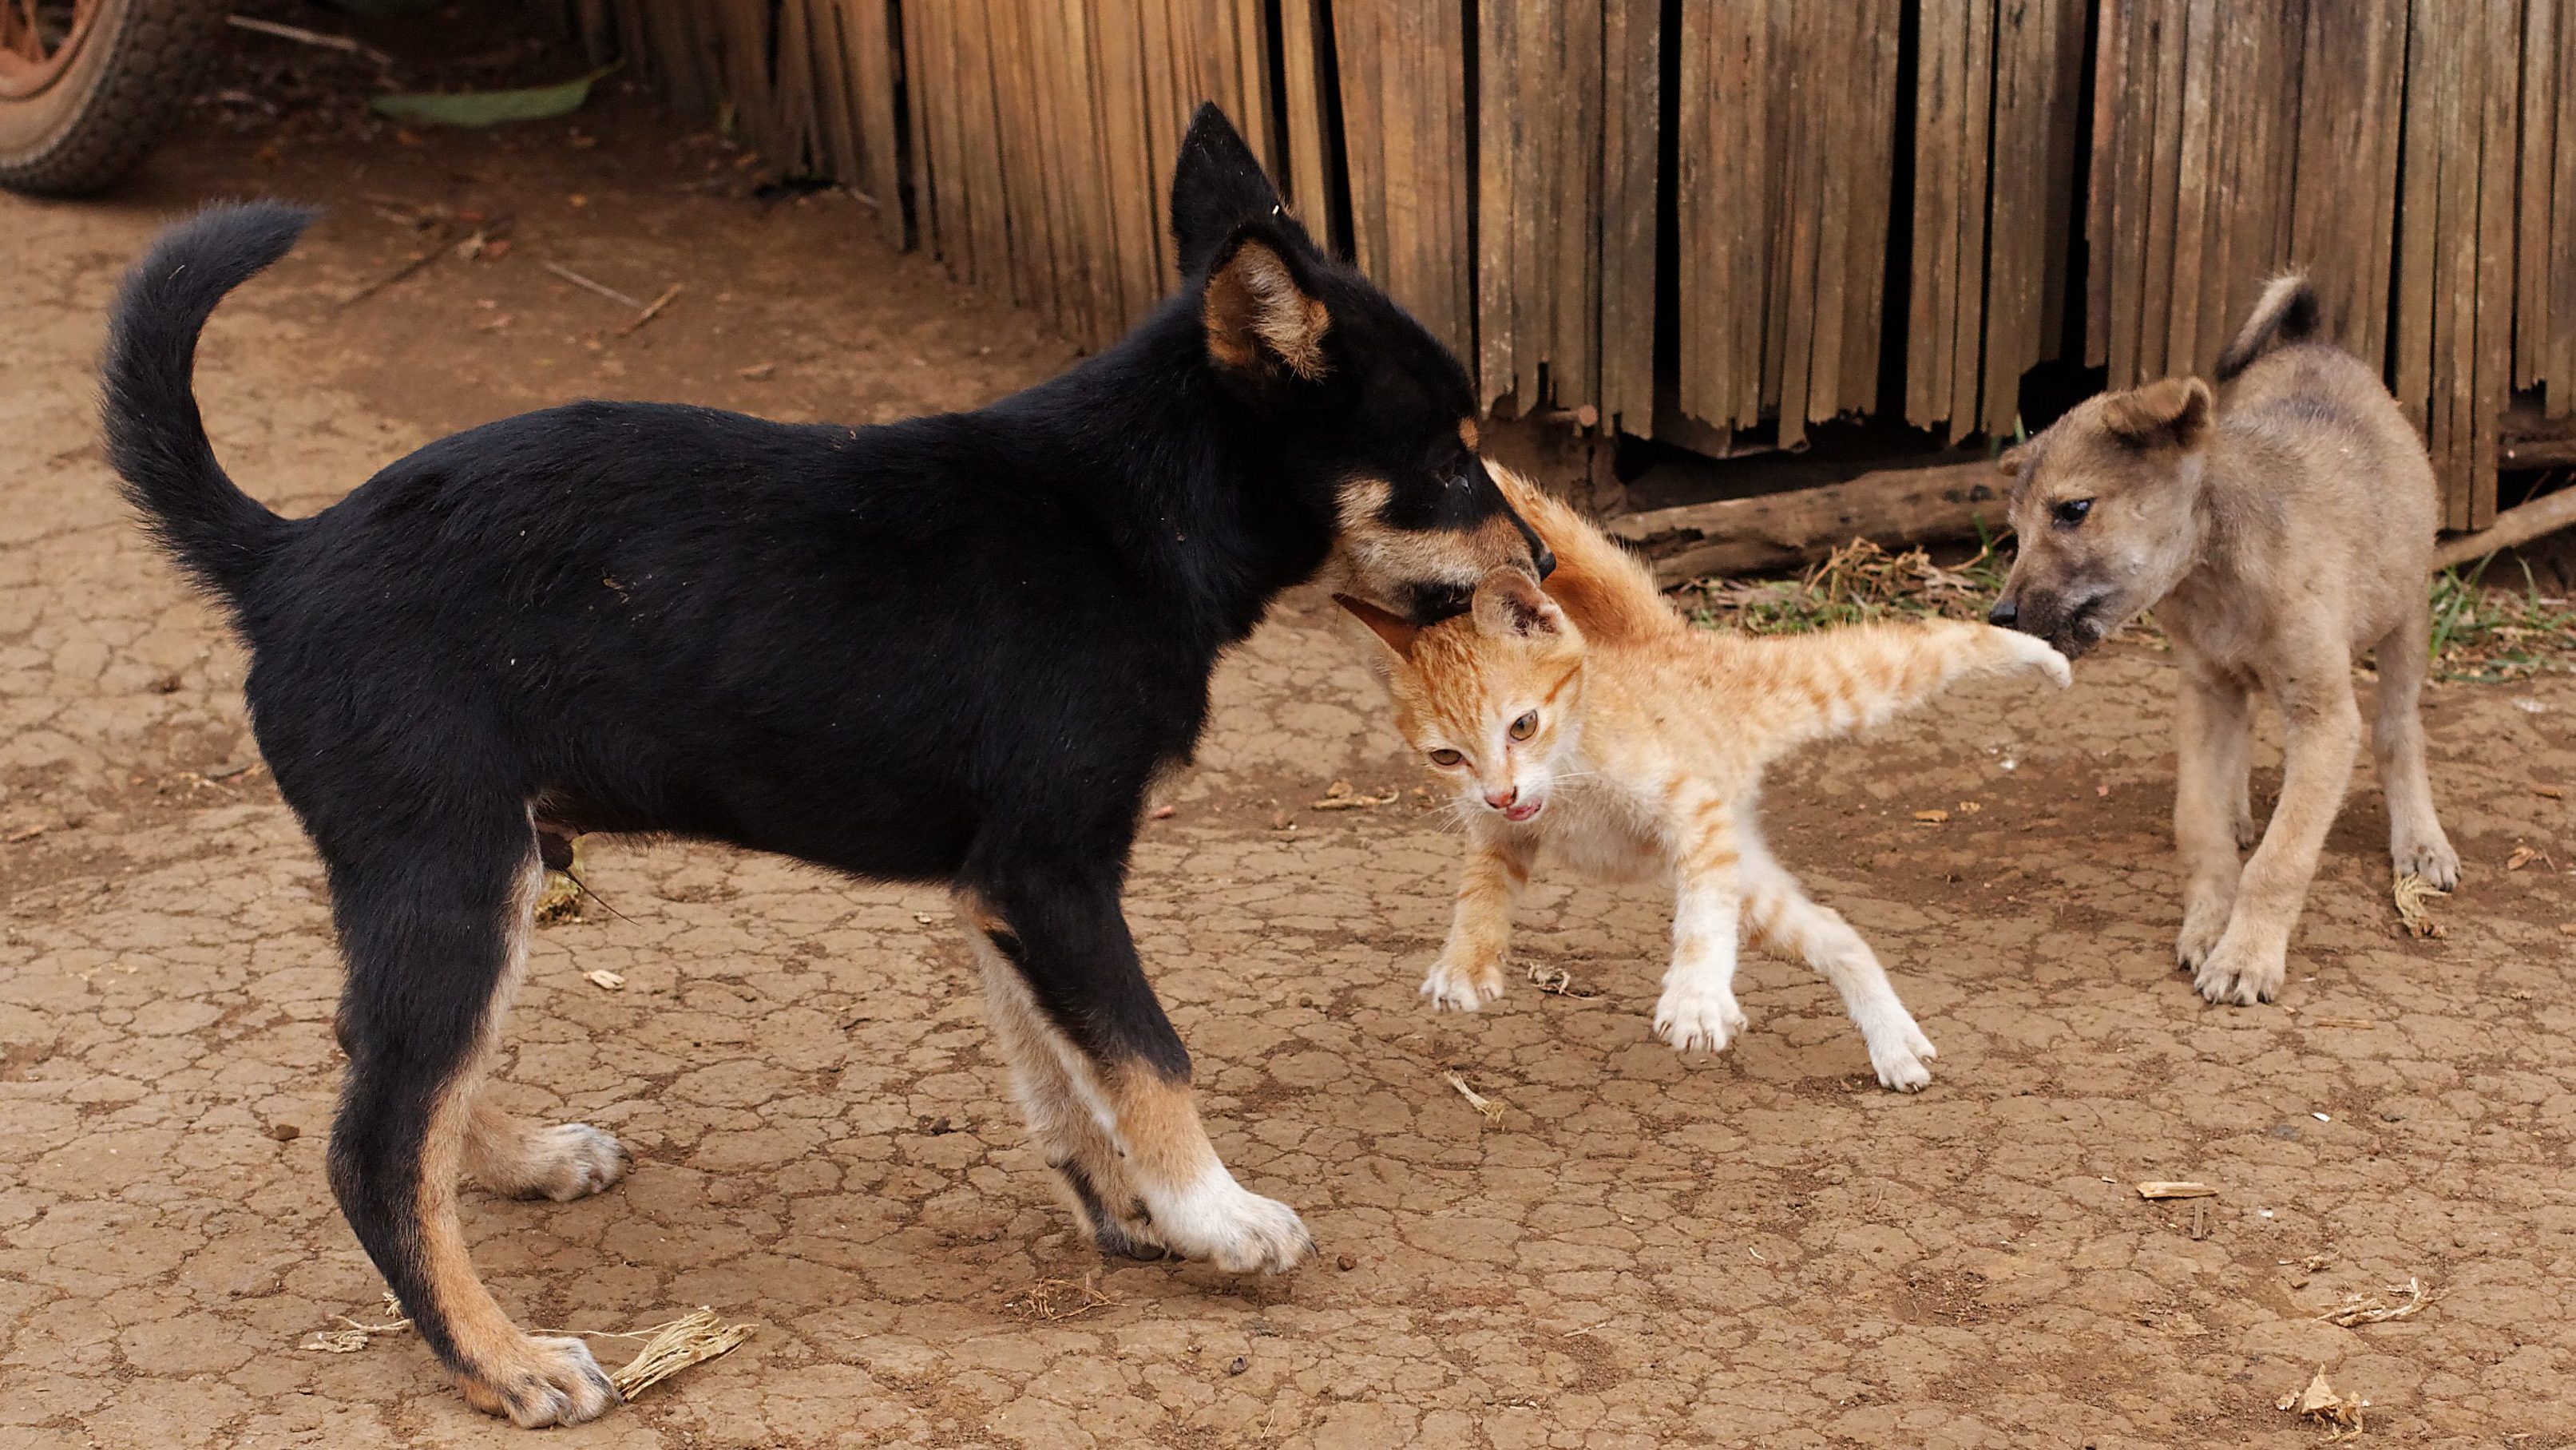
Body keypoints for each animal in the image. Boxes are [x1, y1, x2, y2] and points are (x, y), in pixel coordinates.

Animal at [105, 105, 1545, 1432]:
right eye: (1442, 460)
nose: (1540, 565)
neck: (1133, 509)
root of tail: (284, 556)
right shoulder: (1057, 874)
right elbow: (1148, 1053)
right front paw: (1219, 1216)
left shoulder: (1004, 892)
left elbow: (1061, 1070)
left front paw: (1125, 1207)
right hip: (457, 877)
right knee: (374, 1142)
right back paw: (504, 1362)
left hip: (478, 874)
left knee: (386, 1067)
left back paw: (523, 1163)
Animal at [1349, 476, 2071, 1091]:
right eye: (1447, 757)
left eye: (1522, 725)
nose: (1500, 792)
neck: (1569, 773)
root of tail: (1669, 641)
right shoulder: (1501, 833)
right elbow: (1479, 891)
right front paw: (1465, 965)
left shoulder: (1694, 813)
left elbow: (1701, 919)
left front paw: (1696, 996)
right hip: (1753, 881)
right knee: (1837, 931)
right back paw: (1894, 1044)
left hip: (1833, 689)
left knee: (1930, 643)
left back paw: (2043, 655)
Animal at [1988, 278, 2452, 1004]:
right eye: (2014, 528)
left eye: (2073, 510)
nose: (2000, 615)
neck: (2218, 571)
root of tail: (2311, 343)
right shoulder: (2206, 693)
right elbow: (2198, 828)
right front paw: (2210, 923)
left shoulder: (2326, 718)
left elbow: (2282, 857)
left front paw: (2247, 957)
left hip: (2405, 619)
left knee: (2399, 732)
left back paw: (2421, 840)